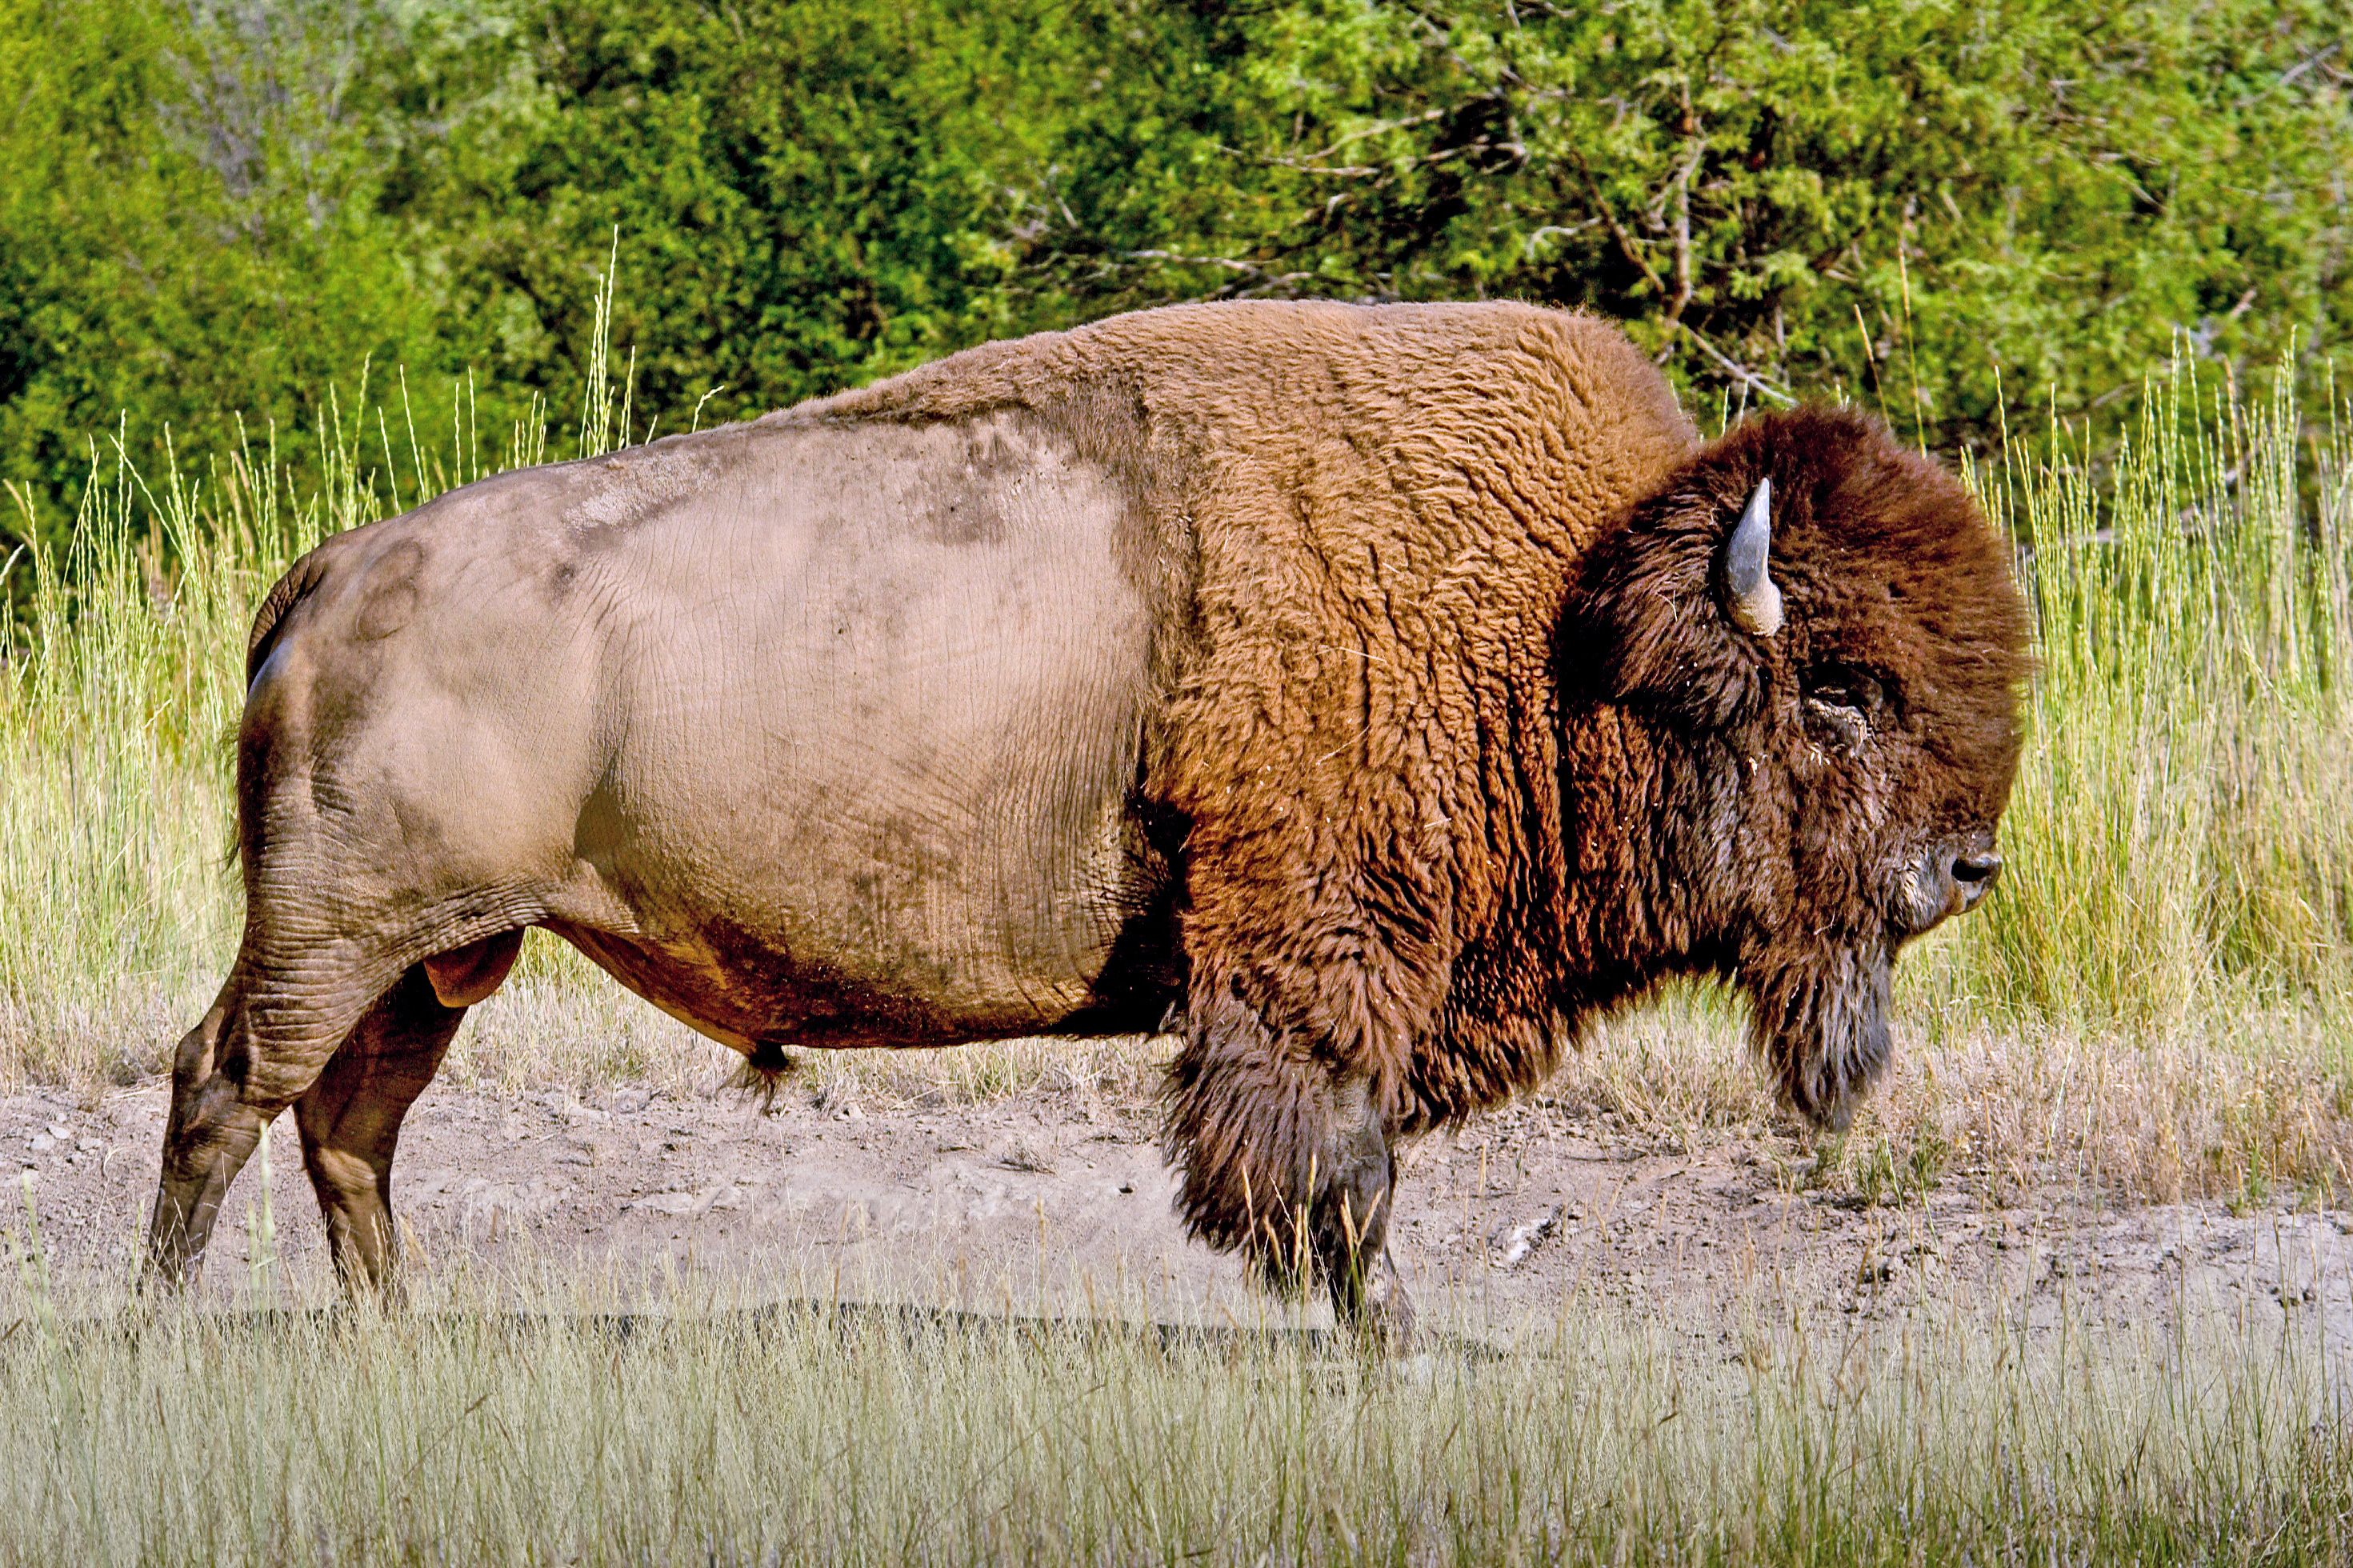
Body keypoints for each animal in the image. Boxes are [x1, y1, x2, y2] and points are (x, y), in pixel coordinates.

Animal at [146, 301, 2033, 1318]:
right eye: (1841, 685)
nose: (1967, 866)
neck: (1553, 614)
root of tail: (329, 568)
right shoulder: (1310, 969)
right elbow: (1332, 1179)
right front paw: (1389, 1342)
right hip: (336, 935)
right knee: (224, 1087)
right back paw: (160, 1329)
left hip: (436, 958)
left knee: (348, 1129)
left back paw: (394, 1338)